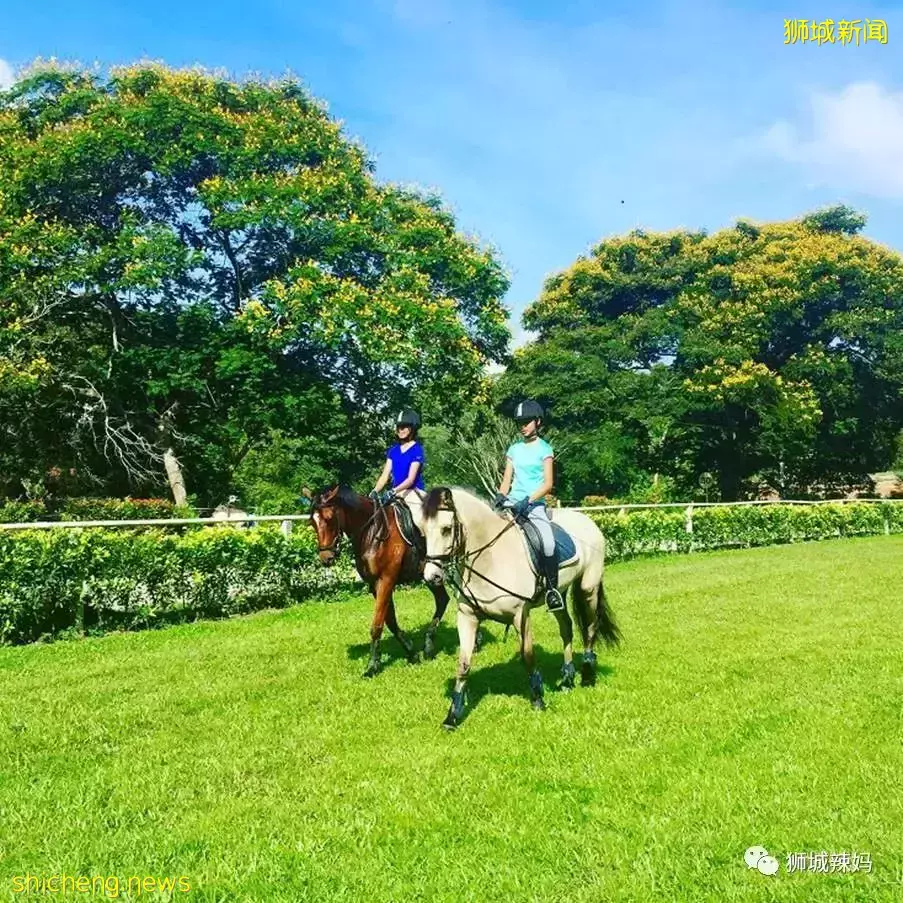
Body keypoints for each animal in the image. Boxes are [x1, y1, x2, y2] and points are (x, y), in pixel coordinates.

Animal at [304, 485, 452, 678]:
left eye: (329, 518)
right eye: (312, 522)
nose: (326, 558)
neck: (374, 532)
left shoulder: (386, 580)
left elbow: (377, 624)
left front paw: (372, 666)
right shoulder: (374, 584)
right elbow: (390, 620)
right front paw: (411, 652)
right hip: (431, 575)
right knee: (443, 599)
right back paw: (428, 646)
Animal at [421, 486, 621, 729]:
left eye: (446, 529)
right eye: (422, 531)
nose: (432, 577)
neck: (490, 557)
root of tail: (588, 520)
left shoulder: (520, 615)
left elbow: (528, 656)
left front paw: (538, 699)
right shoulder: (467, 617)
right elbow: (464, 664)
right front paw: (453, 716)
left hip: (588, 588)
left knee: (590, 627)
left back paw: (588, 675)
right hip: (560, 594)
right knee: (567, 629)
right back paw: (567, 679)